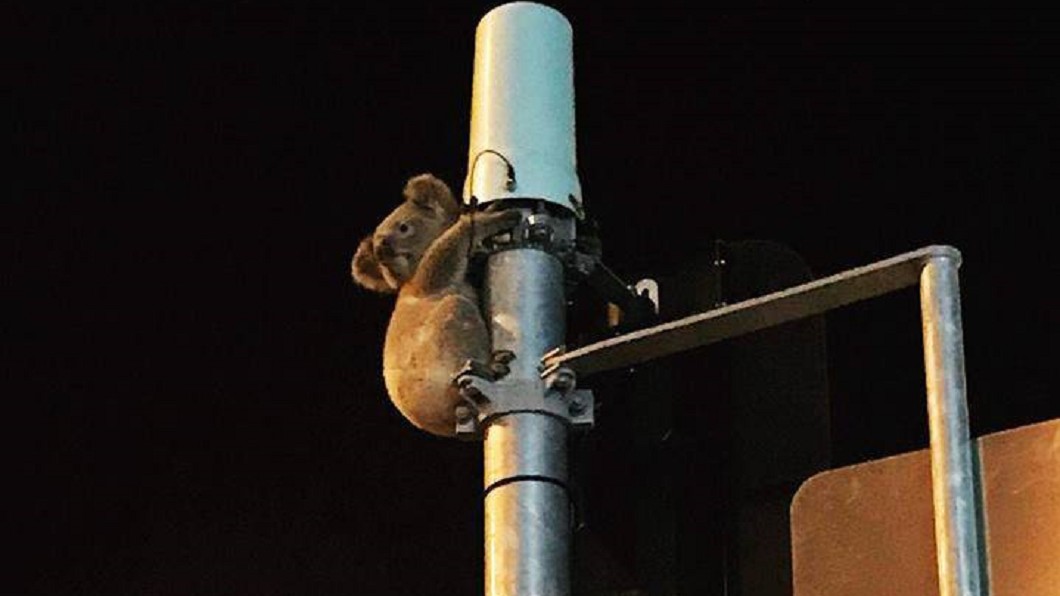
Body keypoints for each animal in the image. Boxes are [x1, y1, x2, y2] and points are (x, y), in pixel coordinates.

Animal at [351, 174, 522, 436]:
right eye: (382, 262)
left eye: (403, 227)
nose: (382, 249)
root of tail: (442, 422)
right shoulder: (425, 283)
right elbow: (446, 256)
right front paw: (487, 218)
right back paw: (489, 367)